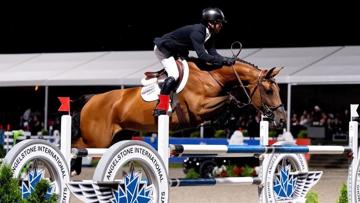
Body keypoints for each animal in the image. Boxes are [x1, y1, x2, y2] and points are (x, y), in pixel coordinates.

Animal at [71, 59, 286, 149]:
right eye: (269, 91)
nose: (282, 120)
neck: (213, 77)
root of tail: (91, 99)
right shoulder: (199, 108)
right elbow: (228, 100)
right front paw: (226, 118)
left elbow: (227, 102)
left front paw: (226, 121)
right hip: (98, 140)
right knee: (76, 147)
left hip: (118, 137)